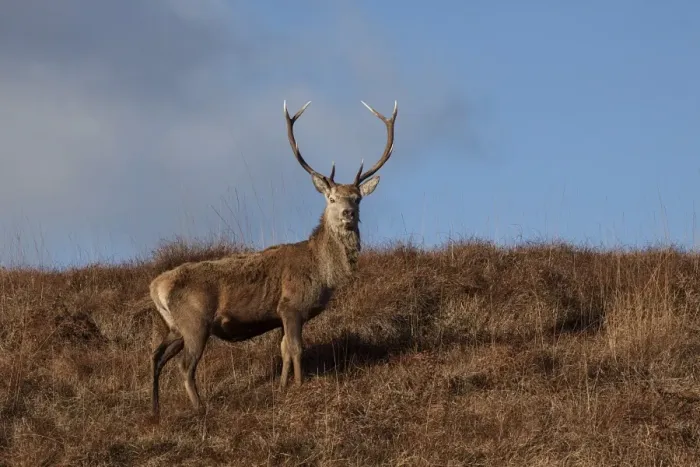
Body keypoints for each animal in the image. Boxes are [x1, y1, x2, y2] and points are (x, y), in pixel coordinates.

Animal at [149, 99, 398, 417]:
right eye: (331, 198)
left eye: (357, 198)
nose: (348, 213)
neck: (322, 273)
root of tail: (156, 286)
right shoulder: (291, 306)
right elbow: (297, 349)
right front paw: (300, 386)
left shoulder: (282, 315)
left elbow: (283, 350)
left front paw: (281, 387)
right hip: (195, 321)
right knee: (184, 365)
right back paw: (200, 407)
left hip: (174, 326)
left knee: (156, 356)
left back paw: (156, 410)